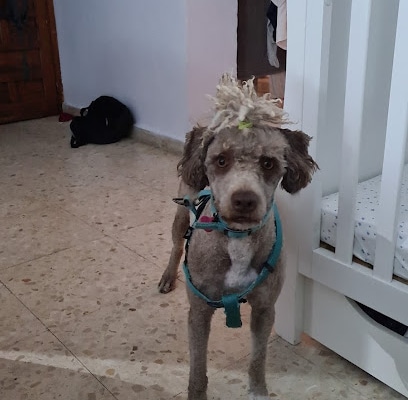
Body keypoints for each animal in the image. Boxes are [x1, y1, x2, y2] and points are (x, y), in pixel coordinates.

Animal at [158, 74, 318, 396]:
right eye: (221, 160)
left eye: (268, 162)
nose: (244, 200)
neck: (237, 238)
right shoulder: (199, 312)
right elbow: (197, 370)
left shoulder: (264, 310)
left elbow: (257, 360)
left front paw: (258, 392)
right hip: (180, 215)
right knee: (176, 247)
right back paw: (168, 276)